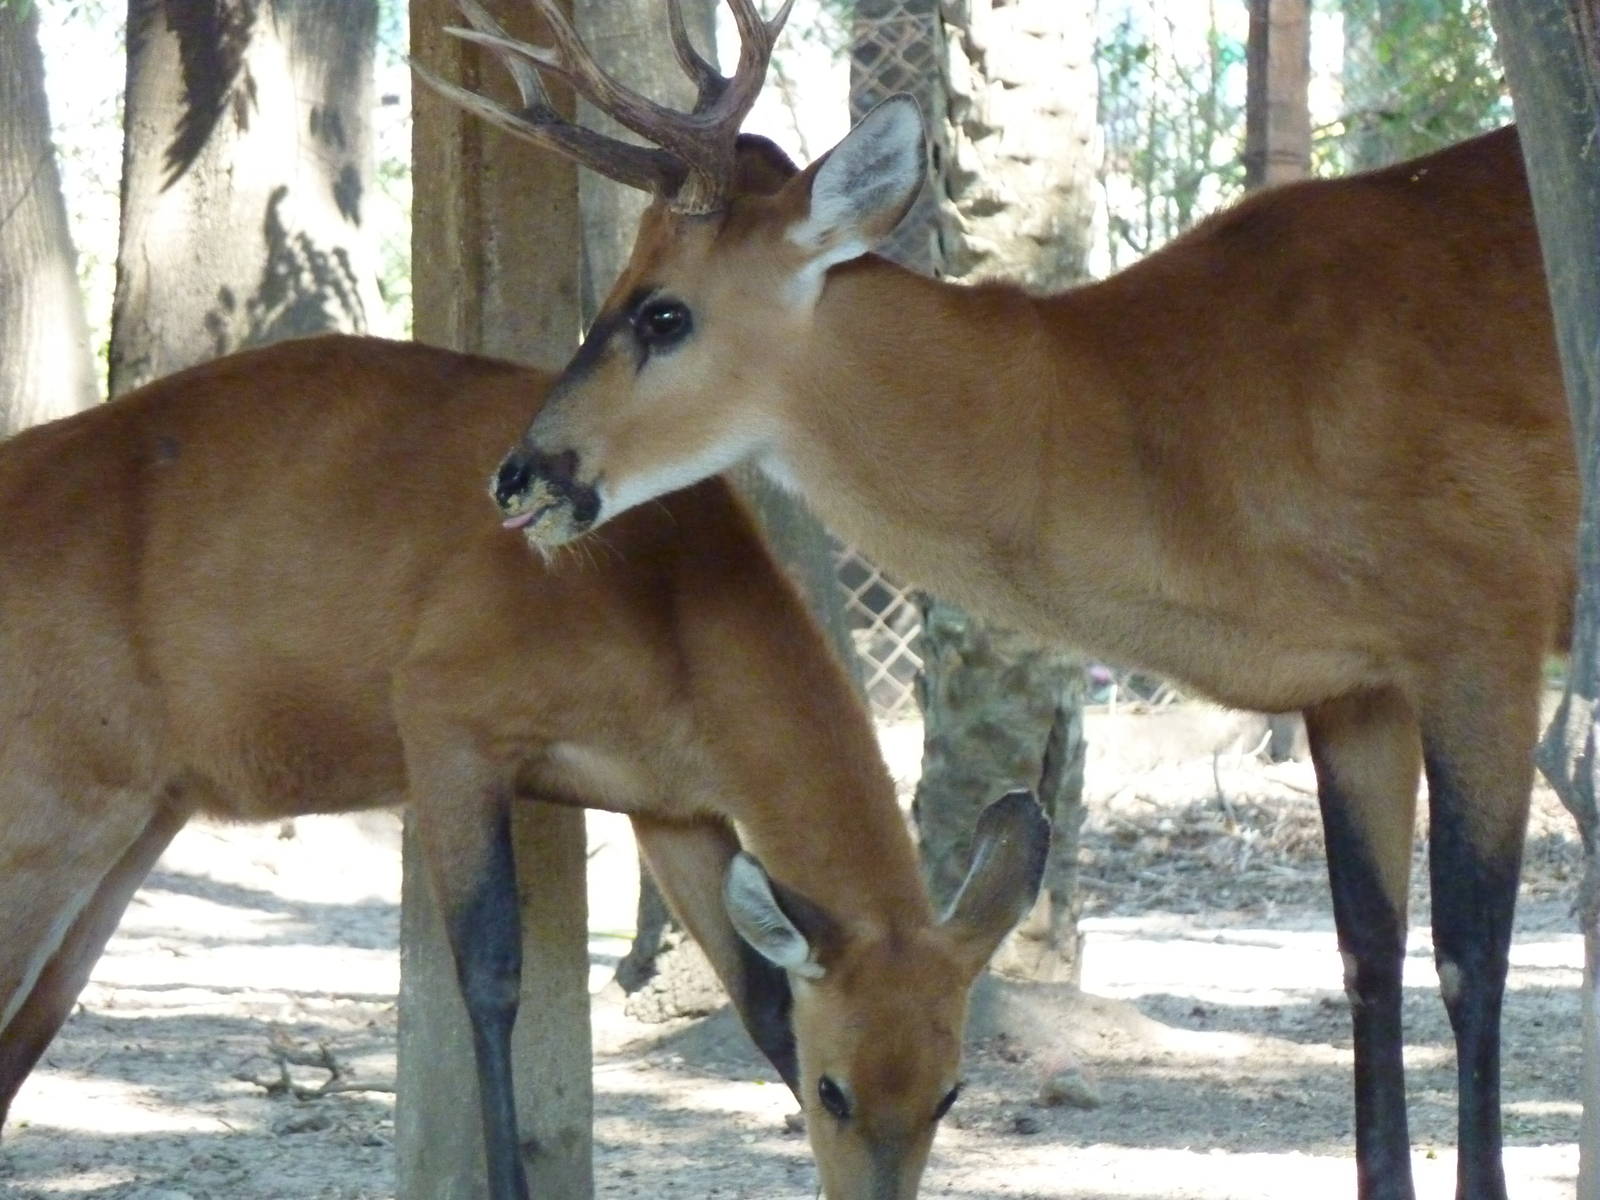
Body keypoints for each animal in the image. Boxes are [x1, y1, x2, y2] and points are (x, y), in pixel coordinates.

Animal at [0, 333, 1051, 1200]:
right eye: (832, 1092)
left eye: (950, 1094)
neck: (666, 594)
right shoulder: (447, 724)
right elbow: (494, 973)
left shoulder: (675, 809)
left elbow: (760, 1001)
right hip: (56, 803)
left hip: (140, 818)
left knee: (32, 1021)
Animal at [419, 3, 1579, 1198]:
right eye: (615, 286)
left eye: (662, 313)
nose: (518, 474)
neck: (1180, 426)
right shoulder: (1350, 684)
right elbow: (1367, 952)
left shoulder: (1482, 626)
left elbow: (1469, 954)